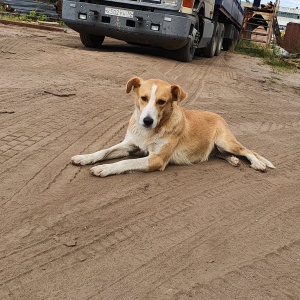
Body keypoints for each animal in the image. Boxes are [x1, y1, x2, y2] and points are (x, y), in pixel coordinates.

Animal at [71, 76, 276, 177]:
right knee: (222, 153)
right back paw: (232, 160)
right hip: (219, 146)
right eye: (143, 98)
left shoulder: (156, 159)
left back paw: (257, 164)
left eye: (162, 102)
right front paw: (84, 157)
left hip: (225, 141)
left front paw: (104, 169)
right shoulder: (129, 145)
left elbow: (125, 163)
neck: (148, 132)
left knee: (247, 151)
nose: (147, 120)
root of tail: (218, 115)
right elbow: (104, 151)